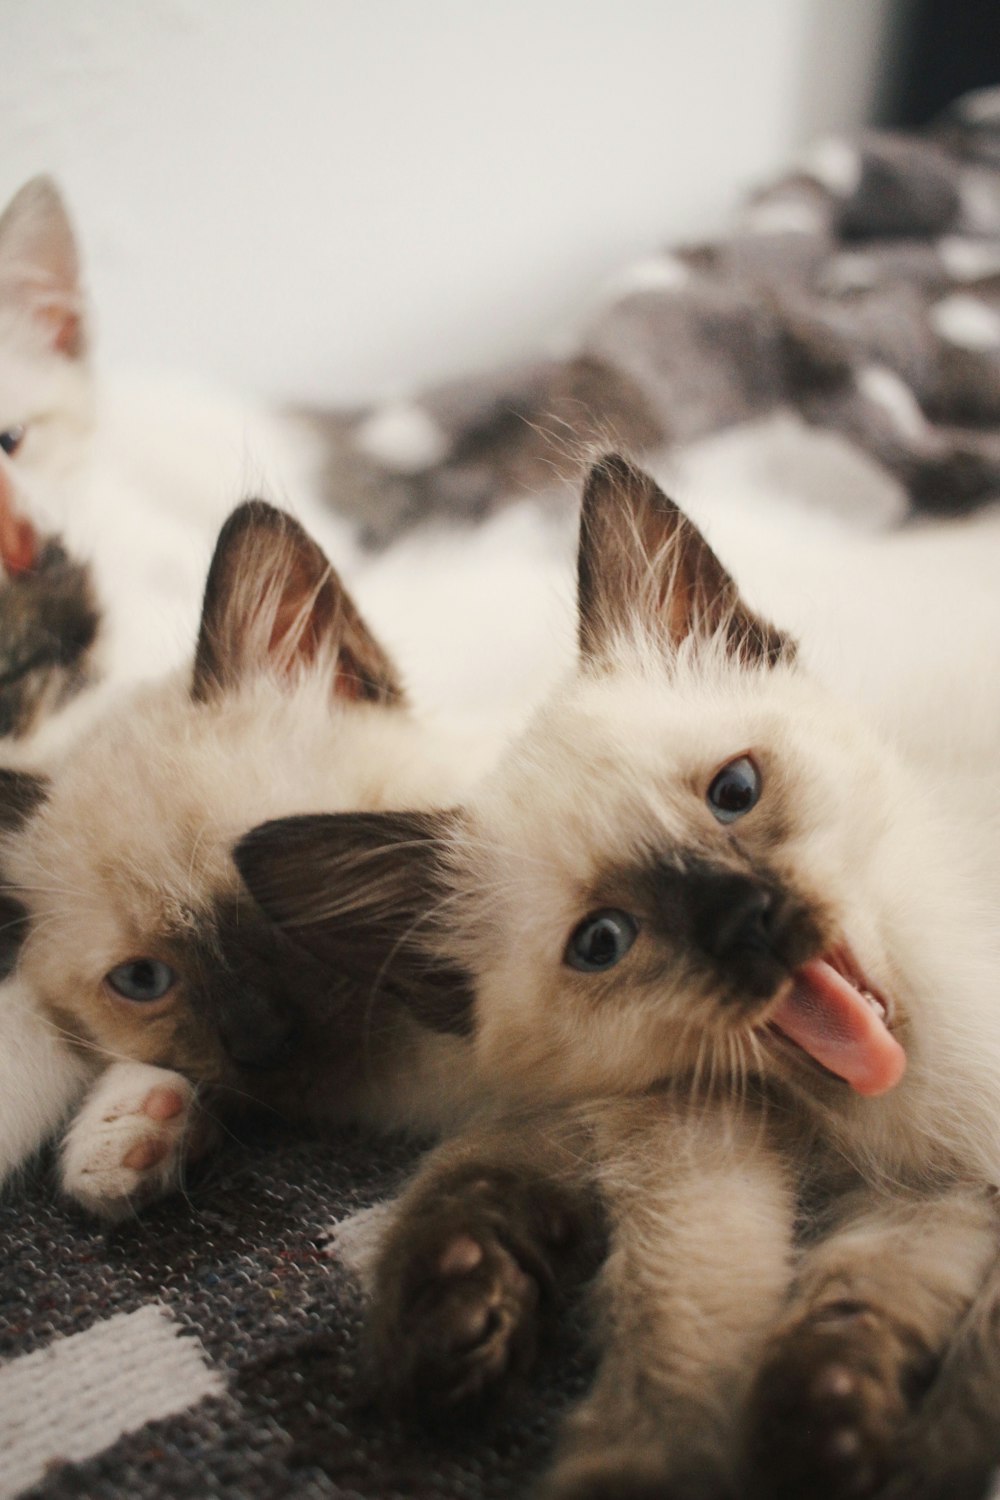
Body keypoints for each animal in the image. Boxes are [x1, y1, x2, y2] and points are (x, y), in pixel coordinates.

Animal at [236, 456, 1000, 1500]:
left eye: (735, 793)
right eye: (603, 942)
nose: (749, 924)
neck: (872, 1125)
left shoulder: (945, 1180)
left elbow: (955, 1357)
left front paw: (908, 1458)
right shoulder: (748, 1146)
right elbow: (726, 1313)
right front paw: (812, 1438)